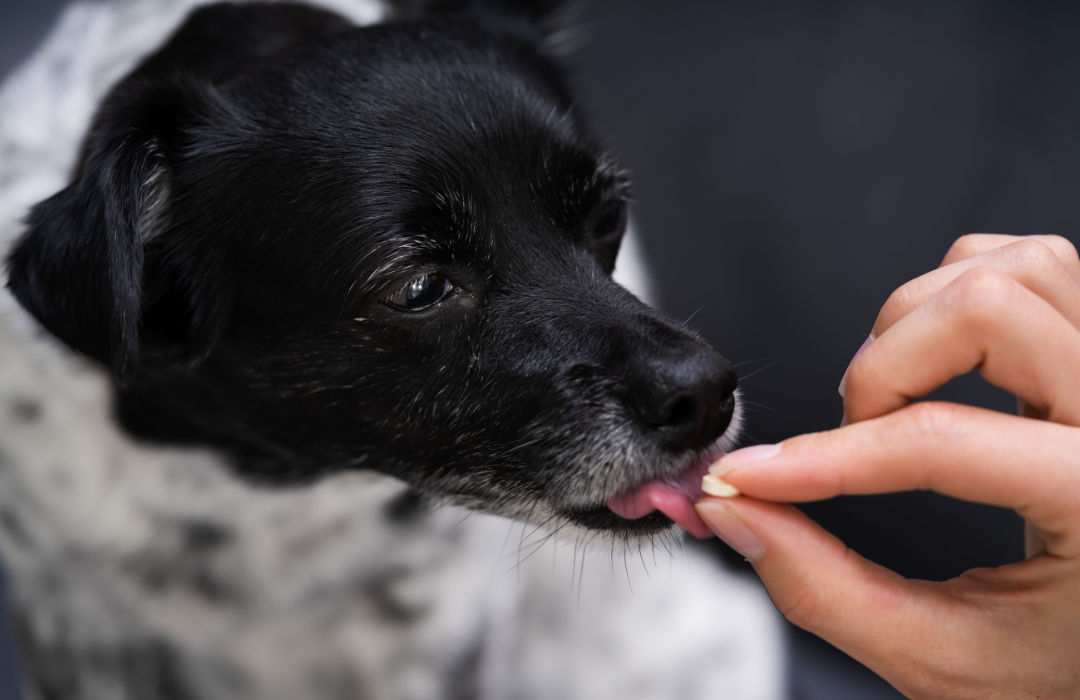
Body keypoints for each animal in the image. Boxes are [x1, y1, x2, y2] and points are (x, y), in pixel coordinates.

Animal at [0, 2, 786, 695]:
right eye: (420, 287)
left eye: (607, 217)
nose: (705, 396)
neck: (261, 486)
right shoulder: (75, 618)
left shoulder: (437, 629)